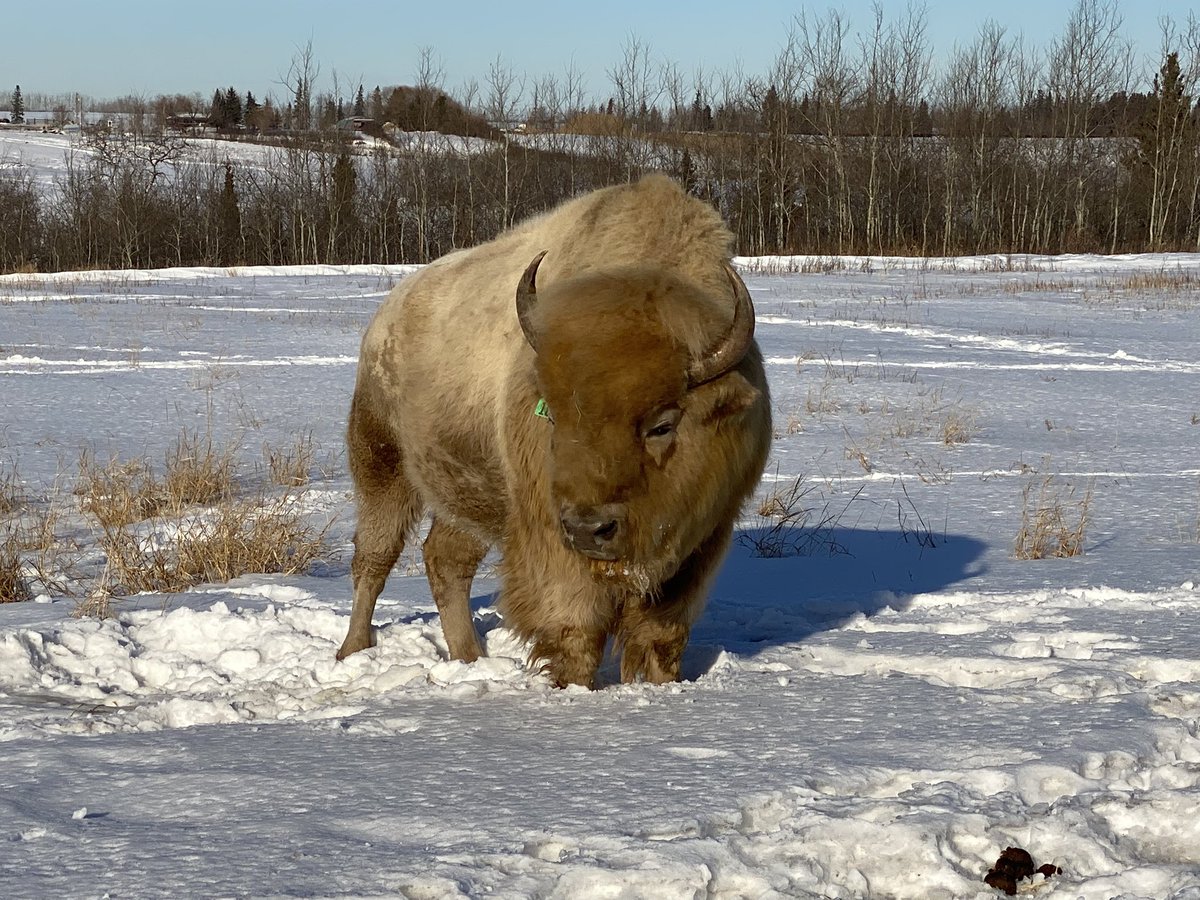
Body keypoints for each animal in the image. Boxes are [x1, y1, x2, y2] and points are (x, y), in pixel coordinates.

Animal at [337, 174, 771, 688]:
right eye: (553, 414)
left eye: (663, 424)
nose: (588, 528)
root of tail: (387, 315)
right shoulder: (548, 534)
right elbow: (575, 627)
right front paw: (571, 686)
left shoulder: (703, 541)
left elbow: (661, 636)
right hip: (382, 462)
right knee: (374, 556)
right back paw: (352, 651)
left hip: (468, 491)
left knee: (446, 560)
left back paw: (469, 658)